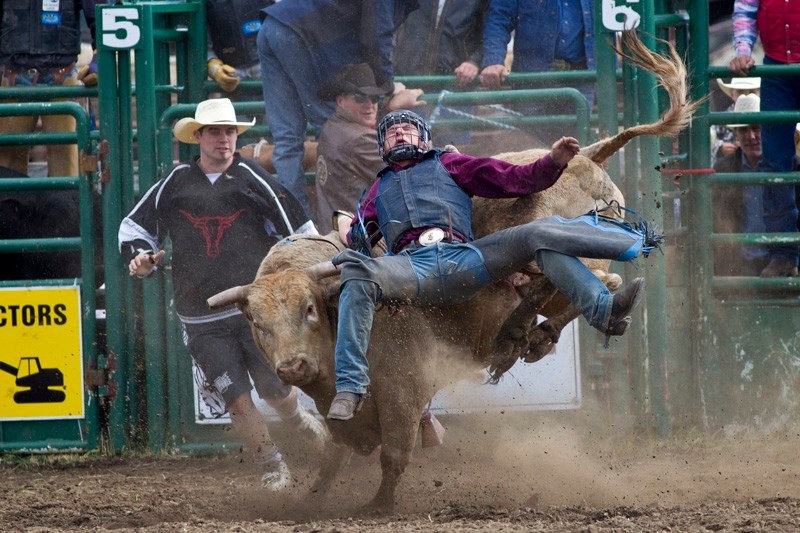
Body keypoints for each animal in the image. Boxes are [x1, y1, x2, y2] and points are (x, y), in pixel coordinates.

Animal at [209, 31, 696, 512]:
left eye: (308, 310)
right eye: (257, 323)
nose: (291, 366)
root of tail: (589, 157)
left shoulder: (403, 391)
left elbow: (394, 453)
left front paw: (379, 504)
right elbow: (334, 450)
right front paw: (311, 498)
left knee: (570, 277)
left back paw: (521, 334)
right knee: (595, 284)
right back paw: (539, 333)